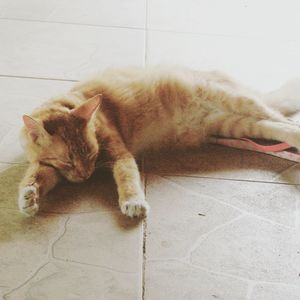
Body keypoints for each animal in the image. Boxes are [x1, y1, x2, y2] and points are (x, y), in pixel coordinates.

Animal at [17, 66, 300, 218]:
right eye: (68, 161)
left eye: (90, 155)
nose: (85, 176)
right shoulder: (48, 167)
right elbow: (35, 178)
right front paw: (28, 198)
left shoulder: (120, 155)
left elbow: (127, 178)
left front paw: (133, 202)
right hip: (235, 125)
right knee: (277, 128)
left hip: (238, 102)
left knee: (284, 121)